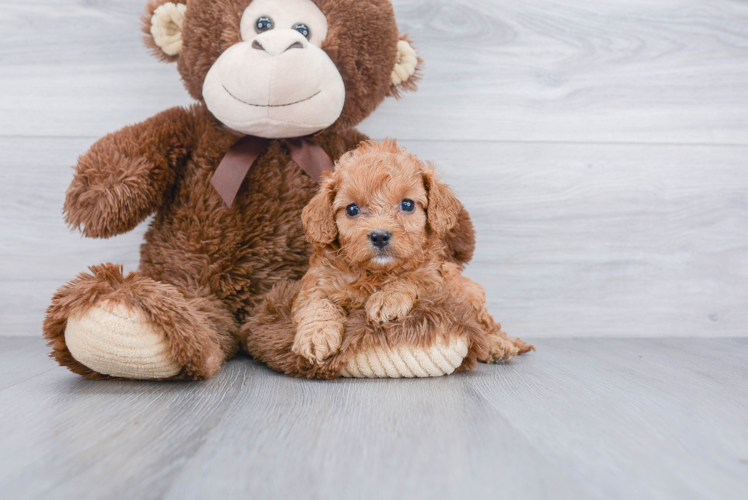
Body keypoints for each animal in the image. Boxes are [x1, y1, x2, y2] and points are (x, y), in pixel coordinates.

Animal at [241, 139, 532, 376]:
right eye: (352, 209)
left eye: (407, 204)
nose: (380, 236)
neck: (375, 274)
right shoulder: (317, 284)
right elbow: (317, 305)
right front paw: (317, 336)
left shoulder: (434, 280)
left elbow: (410, 279)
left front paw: (387, 299)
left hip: (468, 293)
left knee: (485, 326)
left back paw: (498, 345)